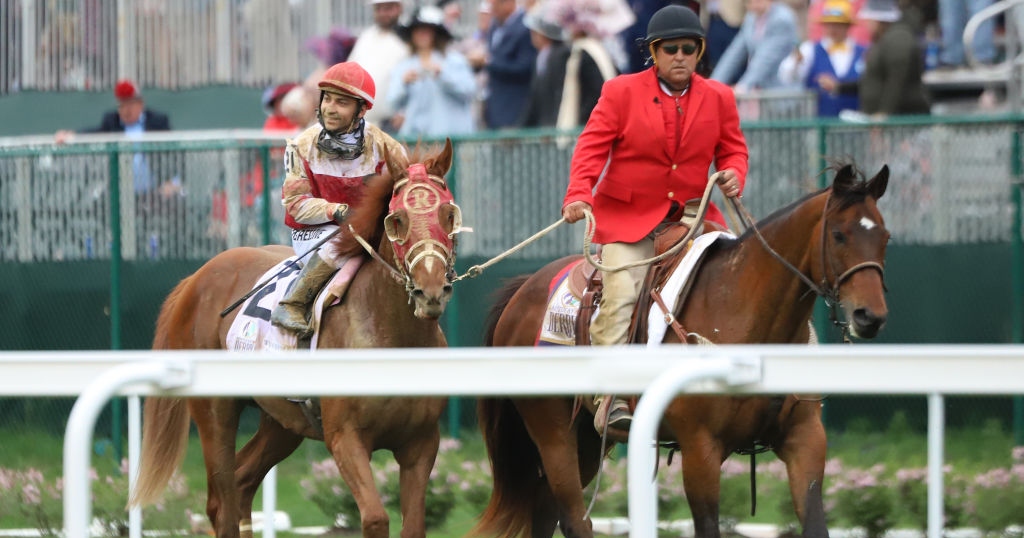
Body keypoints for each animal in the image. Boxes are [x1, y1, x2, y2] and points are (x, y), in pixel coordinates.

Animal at [130, 139, 462, 536]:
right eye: (396, 220)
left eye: (449, 214)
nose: (431, 292)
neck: (391, 335)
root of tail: (195, 279)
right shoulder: (345, 438)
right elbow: (375, 518)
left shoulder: (421, 443)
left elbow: (413, 525)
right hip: (215, 412)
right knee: (221, 500)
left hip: (282, 421)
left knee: (242, 481)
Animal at [471, 163, 888, 536]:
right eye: (838, 235)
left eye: (884, 236)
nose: (870, 316)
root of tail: (523, 290)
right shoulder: (701, 450)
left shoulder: (805, 440)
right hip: (553, 434)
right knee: (574, 519)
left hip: (586, 441)